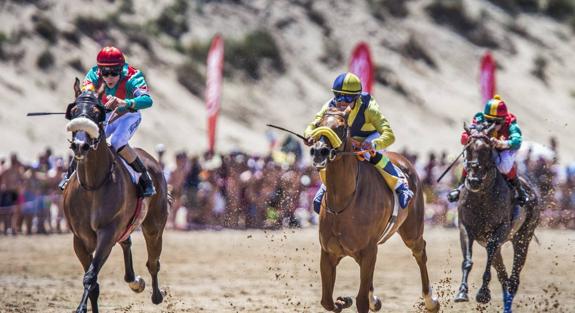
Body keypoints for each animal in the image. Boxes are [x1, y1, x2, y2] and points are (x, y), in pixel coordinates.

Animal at [64, 80, 171, 312]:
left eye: (96, 113)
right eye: (74, 111)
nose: (80, 145)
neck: (93, 185)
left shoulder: (107, 233)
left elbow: (90, 277)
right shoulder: (79, 239)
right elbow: (93, 282)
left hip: (153, 225)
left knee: (153, 262)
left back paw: (155, 293)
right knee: (127, 242)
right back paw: (135, 281)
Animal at [310, 108, 440, 312]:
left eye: (341, 127)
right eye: (317, 124)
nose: (318, 152)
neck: (343, 201)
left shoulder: (369, 251)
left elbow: (361, 300)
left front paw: (353, 300)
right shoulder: (329, 253)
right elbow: (327, 301)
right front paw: (343, 301)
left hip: (412, 231)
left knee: (420, 252)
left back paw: (430, 301)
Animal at [454, 122, 540, 312]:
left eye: (487, 149)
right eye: (468, 148)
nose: (474, 181)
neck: (482, 196)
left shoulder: (500, 231)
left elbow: (489, 256)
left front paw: (483, 293)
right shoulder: (465, 228)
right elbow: (467, 260)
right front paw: (462, 292)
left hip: (523, 238)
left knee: (513, 279)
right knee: (504, 277)